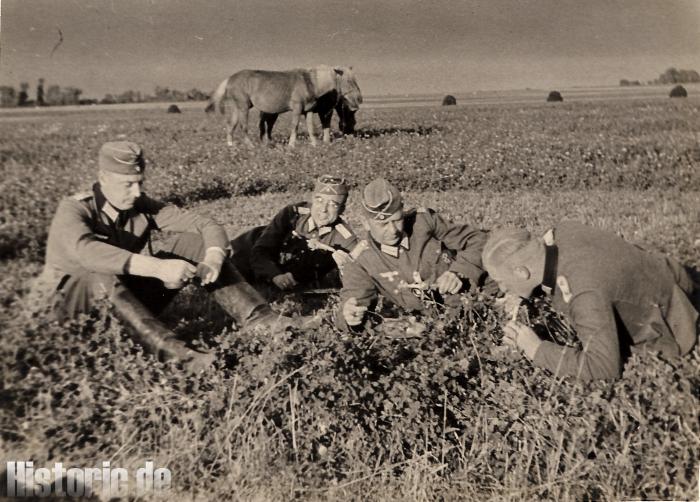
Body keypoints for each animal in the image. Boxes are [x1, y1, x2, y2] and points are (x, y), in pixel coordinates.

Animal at [205, 65, 364, 146]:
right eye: (349, 81)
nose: (359, 100)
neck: (310, 82)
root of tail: (229, 78)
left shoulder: (309, 111)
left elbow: (311, 127)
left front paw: (314, 144)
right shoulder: (297, 109)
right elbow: (295, 126)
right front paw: (291, 145)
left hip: (237, 108)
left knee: (231, 125)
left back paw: (231, 146)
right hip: (243, 107)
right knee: (244, 126)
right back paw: (251, 146)